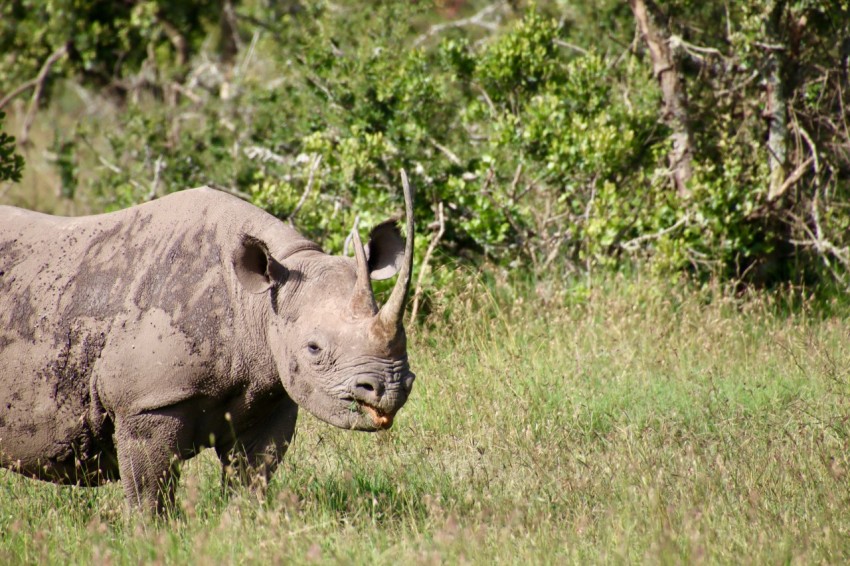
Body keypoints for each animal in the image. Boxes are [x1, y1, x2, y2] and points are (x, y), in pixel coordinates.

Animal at [0, 174, 415, 513]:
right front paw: (151, 539)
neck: (259, 300)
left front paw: (243, 525)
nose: (391, 388)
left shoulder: (270, 392)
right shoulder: (148, 400)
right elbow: (149, 491)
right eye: (313, 349)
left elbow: (252, 476)